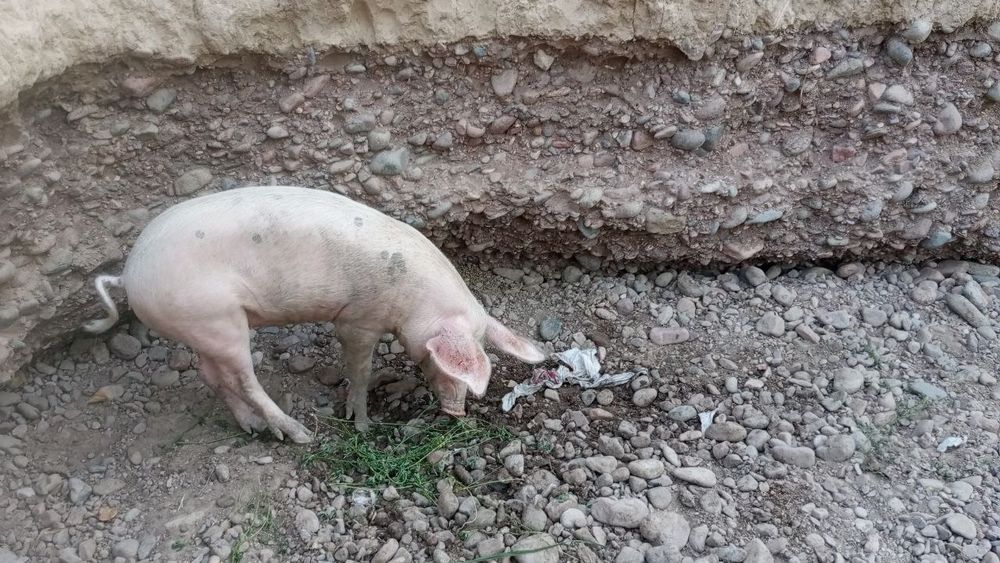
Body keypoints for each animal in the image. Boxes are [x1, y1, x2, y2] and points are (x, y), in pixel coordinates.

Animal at [83, 185, 546, 443]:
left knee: (212, 375)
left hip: (202, 326)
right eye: (441, 360)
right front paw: (362, 423)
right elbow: (358, 369)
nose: (457, 413)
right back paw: (299, 436)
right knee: (244, 379)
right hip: (217, 320)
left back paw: (250, 428)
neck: (414, 301)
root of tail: (129, 274)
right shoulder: (358, 319)